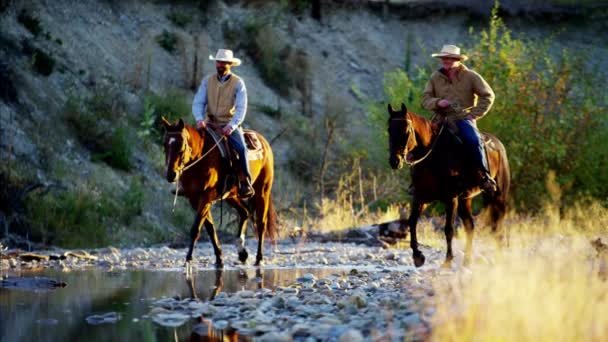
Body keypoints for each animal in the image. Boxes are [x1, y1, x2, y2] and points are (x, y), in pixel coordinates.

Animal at [160, 119, 276, 268]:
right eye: (165, 144)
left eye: (181, 145)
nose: (171, 175)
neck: (200, 158)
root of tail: (263, 141)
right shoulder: (194, 199)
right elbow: (210, 228)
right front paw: (219, 258)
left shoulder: (206, 196)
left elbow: (195, 229)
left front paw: (189, 259)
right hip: (231, 195)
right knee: (244, 212)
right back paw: (242, 252)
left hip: (263, 191)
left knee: (261, 223)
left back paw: (259, 258)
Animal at [388, 103, 510, 268]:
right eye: (389, 129)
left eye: (406, 130)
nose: (395, 161)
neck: (433, 157)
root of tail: (497, 144)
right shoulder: (421, 197)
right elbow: (412, 222)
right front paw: (417, 256)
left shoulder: (451, 199)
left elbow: (448, 229)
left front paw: (447, 260)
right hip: (465, 199)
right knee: (470, 226)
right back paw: (467, 261)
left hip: (497, 196)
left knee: (497, 226)